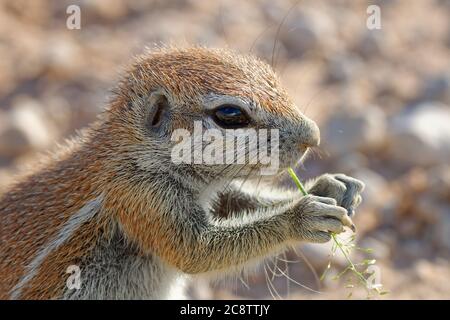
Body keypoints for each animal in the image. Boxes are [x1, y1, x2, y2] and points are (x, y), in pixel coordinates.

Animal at [0, 46, 364, 298]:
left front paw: (331, 186)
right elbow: (195, 252)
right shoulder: (142, 196)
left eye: (270, 73)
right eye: (230, 114)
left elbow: (236, 201)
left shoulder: (211, 190)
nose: (313, 135)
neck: (138, 155)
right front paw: (302, 216)